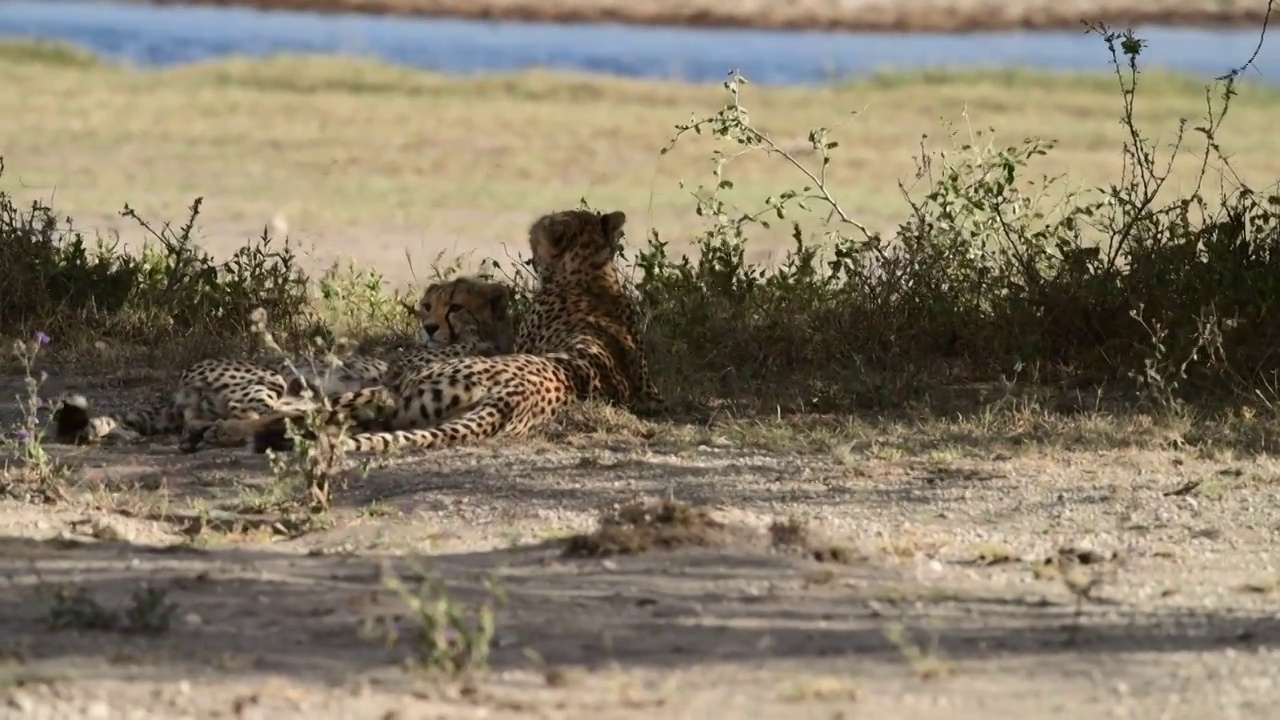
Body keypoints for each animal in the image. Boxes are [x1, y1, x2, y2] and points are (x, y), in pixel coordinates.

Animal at [52, 272, 514, 445]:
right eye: (427, 307)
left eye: (456, 307)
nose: (430, 327)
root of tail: (179, 384)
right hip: (267, 381)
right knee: (257, 414)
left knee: (205, 422)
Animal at [231, 206, 665, 453]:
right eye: (427, 306)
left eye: (455, 308)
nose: (428, 327)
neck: (592, 274)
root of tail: (510, 397)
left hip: (396, 392)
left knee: (306, 412)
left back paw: (237, 429)